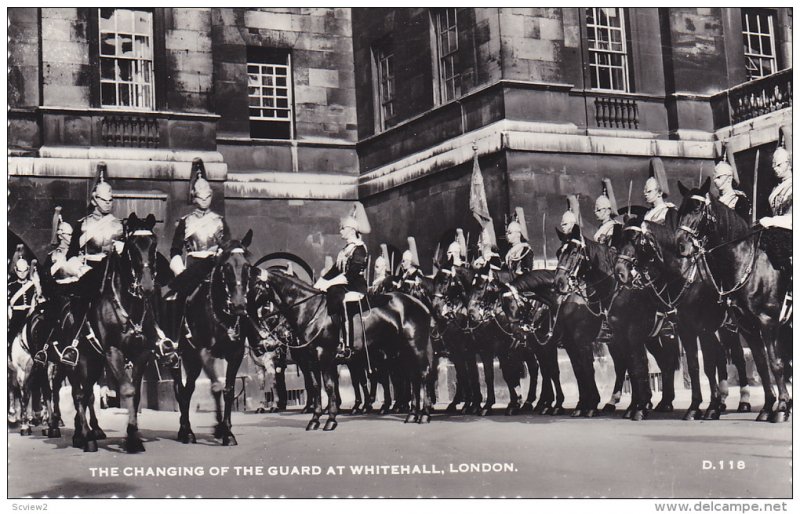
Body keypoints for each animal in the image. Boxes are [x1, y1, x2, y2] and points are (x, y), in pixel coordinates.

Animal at [170, 230, 258, 442]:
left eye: (247, 266)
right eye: (226, 266)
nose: (239, 305)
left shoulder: (235, 354)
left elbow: (228, 390)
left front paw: (226, 430)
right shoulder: (204, 353)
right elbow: (216, 387)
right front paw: (222, 429)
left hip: (192, 362)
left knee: (187, 389)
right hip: (182, 358)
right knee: (183, 390)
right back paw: (186, 431)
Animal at [256, 268, 434, 428]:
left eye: (256, 284)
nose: (263, 342)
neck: (311, 310)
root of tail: (419, 304)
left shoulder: (327, 358)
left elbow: (330, 386)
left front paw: (331, 419)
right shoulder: (314, 362)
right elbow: (317, 387)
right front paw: (316, 419)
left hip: (413, 348)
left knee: (422, 375)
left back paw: (423, 414)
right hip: (403, 352)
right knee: (412, 377)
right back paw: (412, 414)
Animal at [466, 266, 564, 414]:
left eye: (481, 286)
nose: (471, 313)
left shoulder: (507, 348)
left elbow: (510, 374)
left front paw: (513, 403)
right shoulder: (487, 349)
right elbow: (491, 376)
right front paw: (492, 404)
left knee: (543, 370)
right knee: (537, 369)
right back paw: (537, 402)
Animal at [676, 179, 792, 420]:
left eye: (698, 209)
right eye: (680, 211)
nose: (680, 245)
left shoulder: (768, 322)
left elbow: (775, 363)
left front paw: (782, 407)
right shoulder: (748, 326)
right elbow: (761, 364)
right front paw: (768, 407)